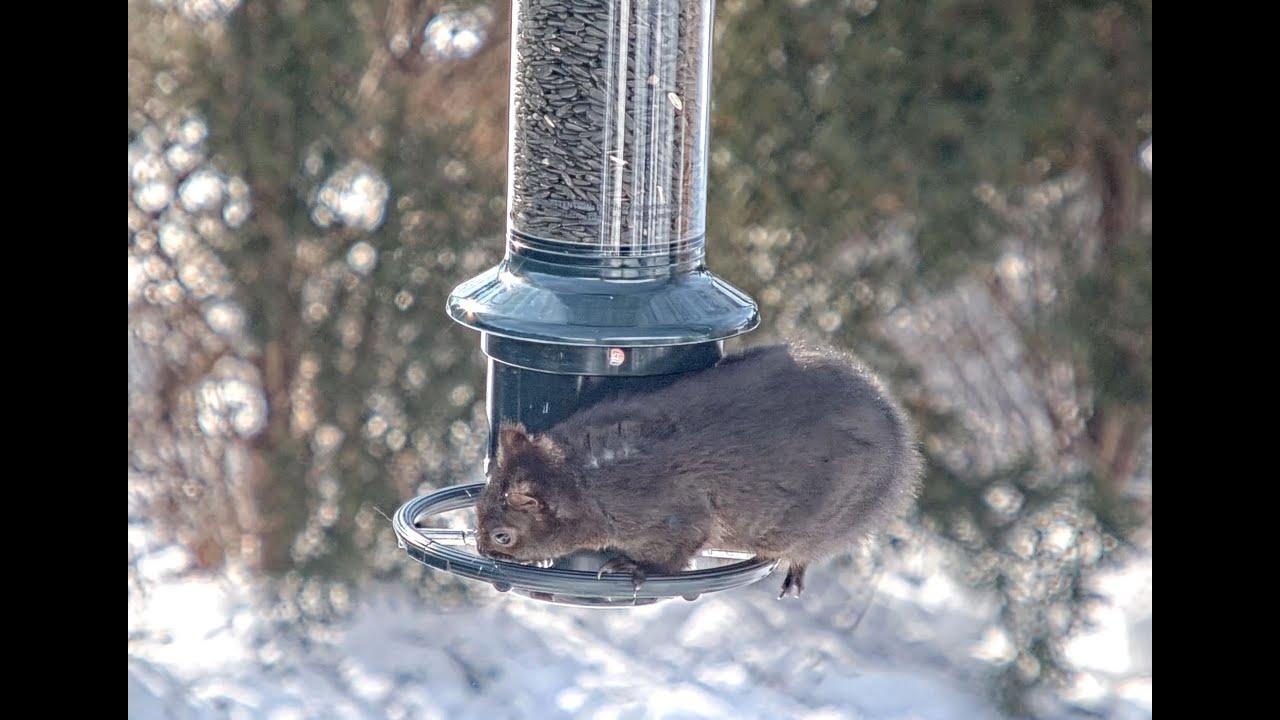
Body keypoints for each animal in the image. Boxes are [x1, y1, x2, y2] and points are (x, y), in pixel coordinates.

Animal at [473, 342, 922, 598]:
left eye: (503, 536)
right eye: (478, 506)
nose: (481, 551)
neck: (582, 479)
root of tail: (902, 448)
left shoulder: (675, 514)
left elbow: (674, 552)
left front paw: (634, 568)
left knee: (807, 550)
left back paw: (794, 572)